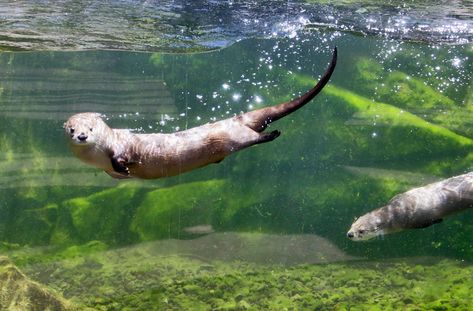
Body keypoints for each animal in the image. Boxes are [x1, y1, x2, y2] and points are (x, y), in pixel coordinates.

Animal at [63, 47, 336, 179]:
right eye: (72, 129)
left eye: (90, 128)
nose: (82, 136)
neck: (97, 156)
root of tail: (235, 119)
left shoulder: (122, 146)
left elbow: (122, 158)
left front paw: (125, 168)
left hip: (234, 137)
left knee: (254, 137)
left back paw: (273, 134)